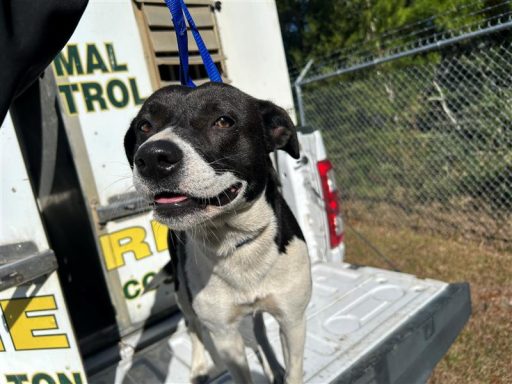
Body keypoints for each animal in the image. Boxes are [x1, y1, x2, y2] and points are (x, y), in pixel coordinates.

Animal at [126, 83, 314, 384]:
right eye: (145, 126)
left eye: (224, 121)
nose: (153, 157)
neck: (236, 242)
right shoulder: (225, 335)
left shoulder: (293, 319)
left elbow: (293, 370)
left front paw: (280, 370)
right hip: (183, 295)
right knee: (193, 327)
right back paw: (199, 368)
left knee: (259, 332)